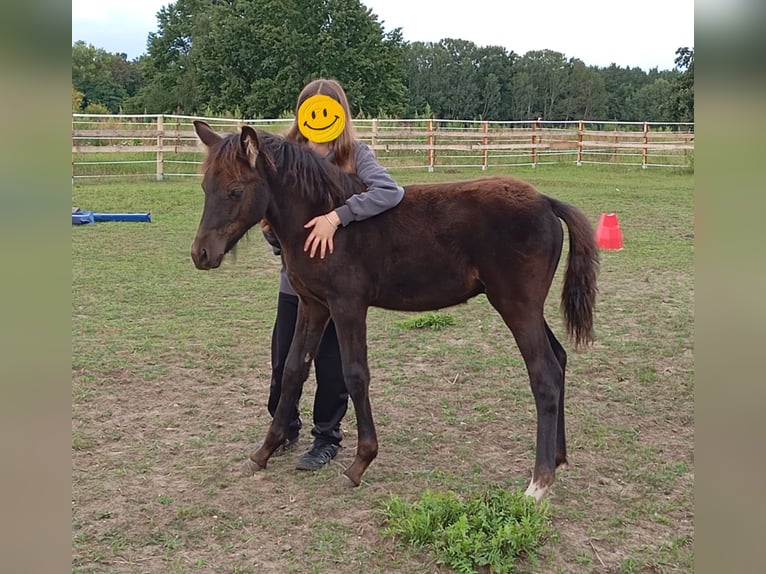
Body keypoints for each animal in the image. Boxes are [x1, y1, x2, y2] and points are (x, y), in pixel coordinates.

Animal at [190, 120, 599, 501]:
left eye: (236, 190)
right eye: (204, 188)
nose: (201, 254)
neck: (321, 220)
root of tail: (546, 201)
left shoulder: (347, 306)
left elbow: (355, 375)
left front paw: (360, 463)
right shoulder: (313, 306)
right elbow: (293, 370)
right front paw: (264, 451)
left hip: (517, 305)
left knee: (544, 374)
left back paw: (539, 483)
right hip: (526, 307)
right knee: (559, 359)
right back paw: (558, 459)